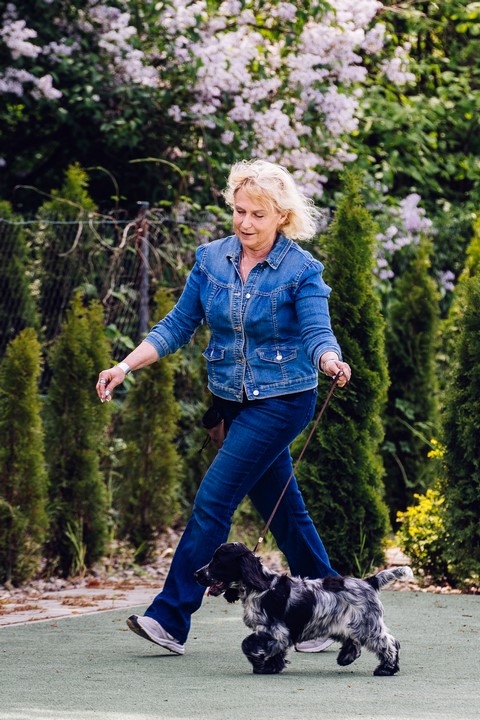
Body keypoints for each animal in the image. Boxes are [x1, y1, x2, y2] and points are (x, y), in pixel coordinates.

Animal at [195, 542, 413, 676]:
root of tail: (369, 581)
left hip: (366, 625)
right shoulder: (276, 633)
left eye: (218, 562)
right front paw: (271, 667)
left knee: (389, 644)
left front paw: (259, 663)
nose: (196, 574)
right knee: (356, 642)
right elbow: (275, 651)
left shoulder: (274, 630)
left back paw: (386, 669)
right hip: (350, 624)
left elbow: (247, 644)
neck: (260, 587)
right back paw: (346, 658)